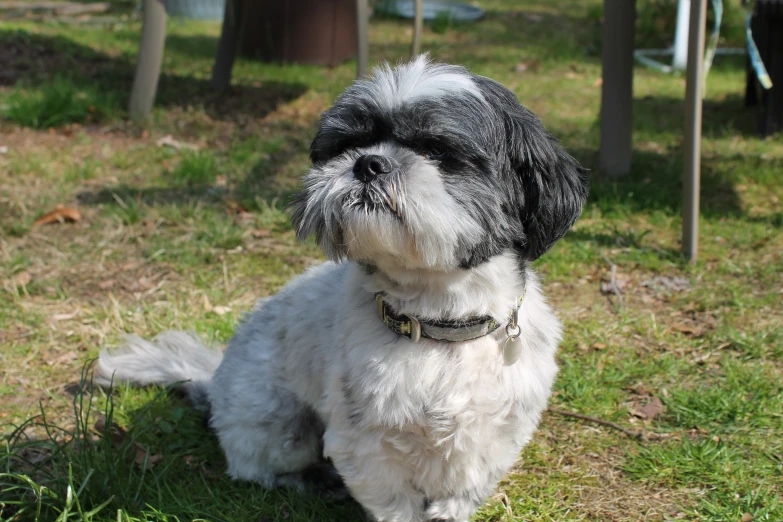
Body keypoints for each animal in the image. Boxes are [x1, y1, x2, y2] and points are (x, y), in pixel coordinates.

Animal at [96, 57, 588, 520]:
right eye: (348, 144)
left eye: (438, 150)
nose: (369, 162)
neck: (441, 323)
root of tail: (212, 383)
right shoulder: (365, 444)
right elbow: (394, 502)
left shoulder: (496, 433)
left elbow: (462, 488)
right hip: (279, 420)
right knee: (256, 467)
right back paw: (313, 479)